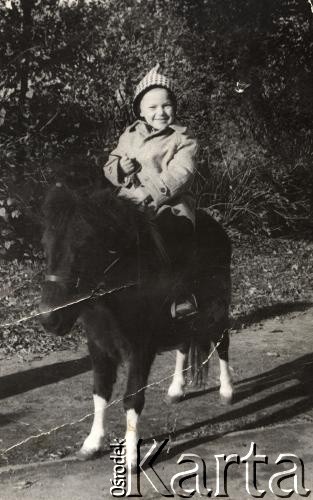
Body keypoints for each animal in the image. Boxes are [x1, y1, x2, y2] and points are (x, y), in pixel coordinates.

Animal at [39, 186, 232, 466]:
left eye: (84, 246)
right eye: (46, 245)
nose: (49, 318)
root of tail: (217, 228)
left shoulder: (141, 349)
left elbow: (132, 398)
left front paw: (130, 455)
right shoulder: (98, 346)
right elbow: (100, 391)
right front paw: (92, 443)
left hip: (217, 308)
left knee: (222, 343)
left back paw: (227, 391)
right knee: (184, 344)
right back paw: (176, 389)